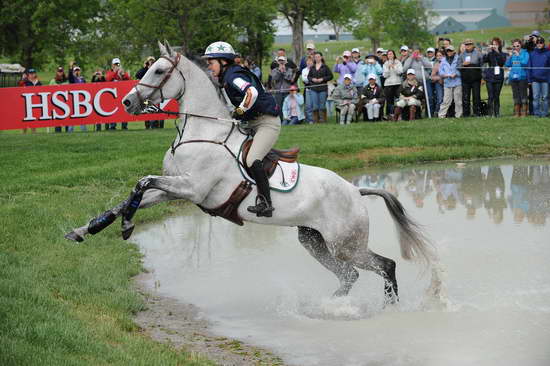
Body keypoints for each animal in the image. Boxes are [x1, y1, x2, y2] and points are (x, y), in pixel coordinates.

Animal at [66, 41, 436, 302]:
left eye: (157, 71)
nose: (127, 103)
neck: (201, 132)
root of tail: (356, 191)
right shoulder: (173, 188)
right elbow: (132, 195)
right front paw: (87, 229)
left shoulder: (192, 188)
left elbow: (142, 182)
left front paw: (126, 227)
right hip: (314, 240)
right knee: (349, 276)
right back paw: (328, 307)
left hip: (346, 243)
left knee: (384, 266)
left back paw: (388, 309)